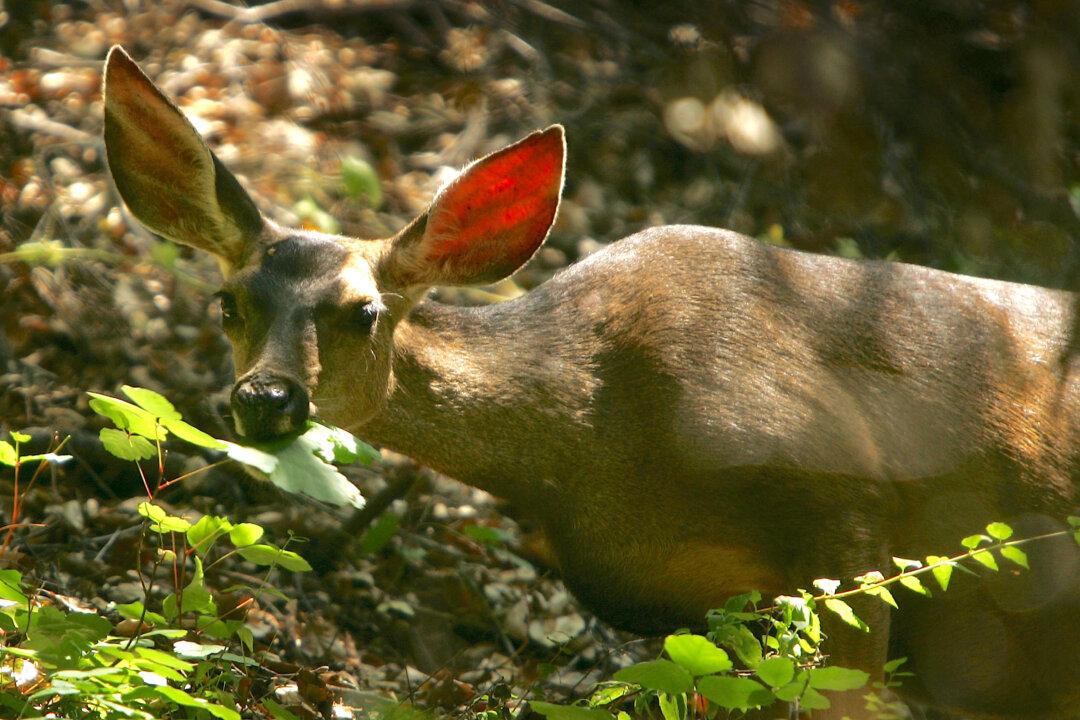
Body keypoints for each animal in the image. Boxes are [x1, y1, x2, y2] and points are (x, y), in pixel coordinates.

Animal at [101, 46, 1078, 719]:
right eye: (229, 302)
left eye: (364, 311)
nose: (266, 398)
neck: (597, 443)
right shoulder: (689, 608)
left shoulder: (846, 503)